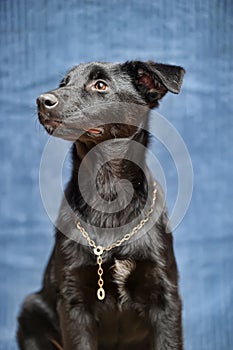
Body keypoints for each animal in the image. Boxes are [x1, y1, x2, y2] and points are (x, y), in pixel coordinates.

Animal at [17, 61, 185, 348]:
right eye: (64, 83)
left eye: (100, 85)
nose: (42, 100)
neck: (108, 189)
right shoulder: (74, 302)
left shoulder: (166, 299)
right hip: (31, 308)